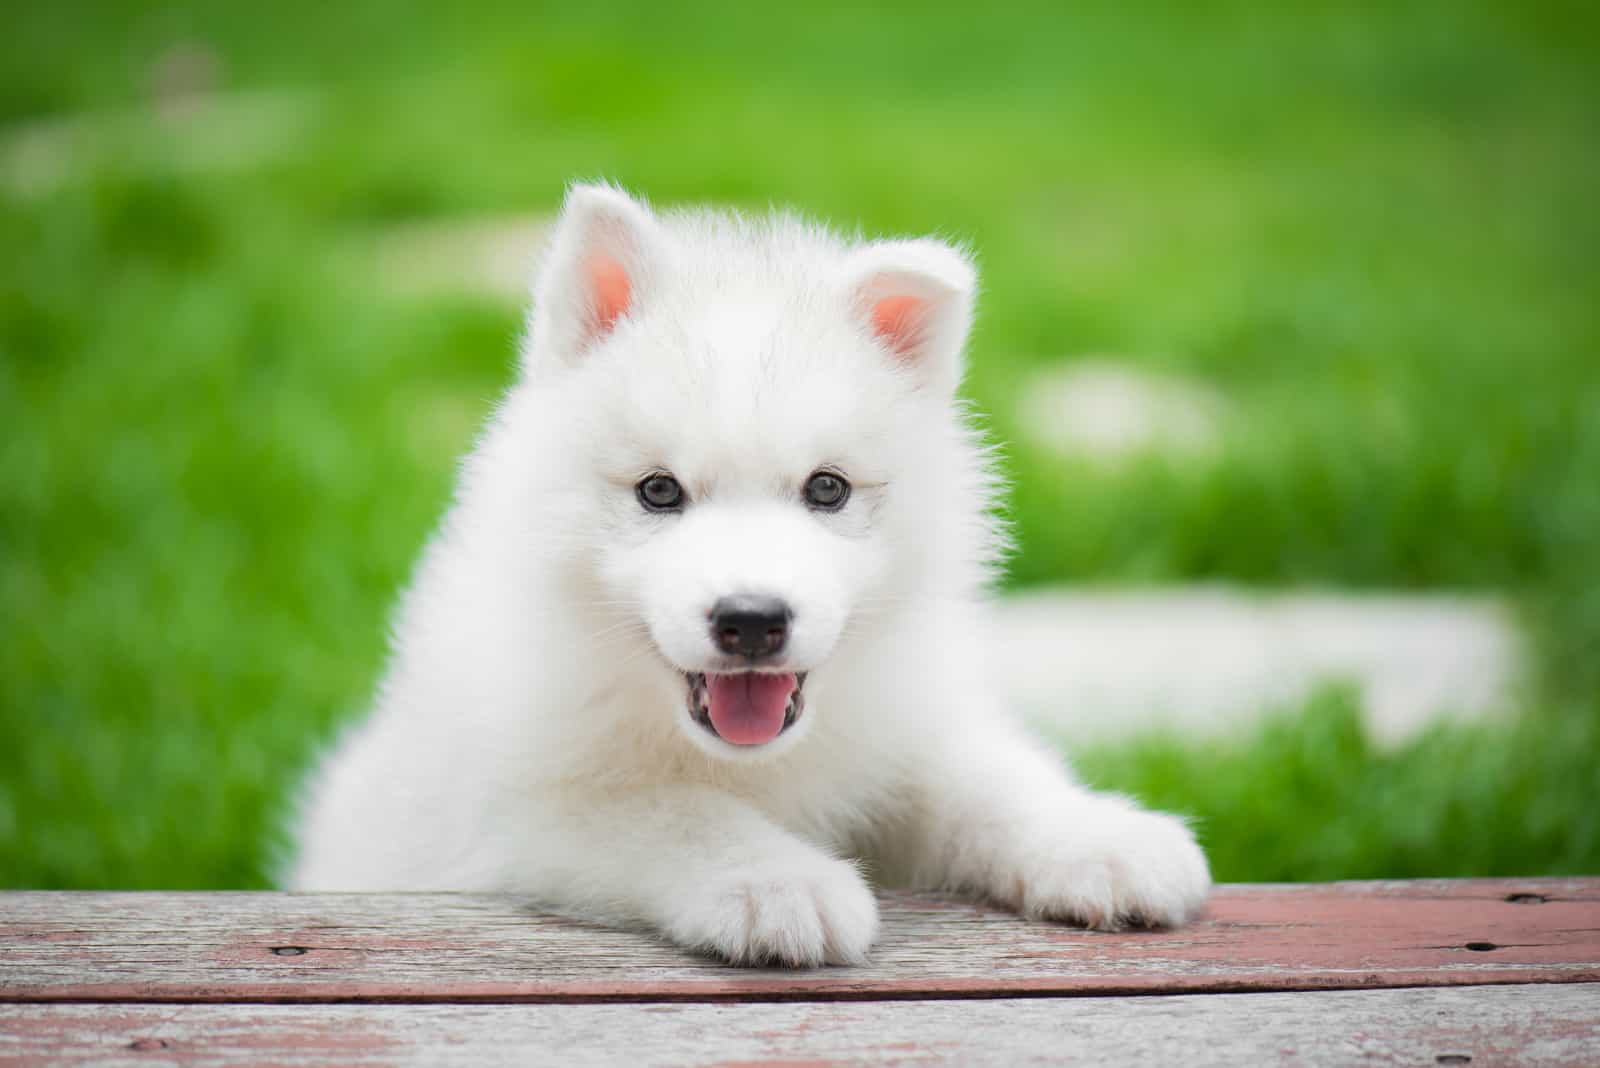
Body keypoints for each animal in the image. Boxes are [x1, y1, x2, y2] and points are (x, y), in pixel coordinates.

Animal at [291, 183, 1209, 965]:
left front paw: (1101, 839)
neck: (752, 764)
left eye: (827, 488)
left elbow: (984, 777)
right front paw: (778, 883)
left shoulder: (900, 726)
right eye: (659, 490)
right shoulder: (519, 811)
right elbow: (672, 811)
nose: (753, 620)